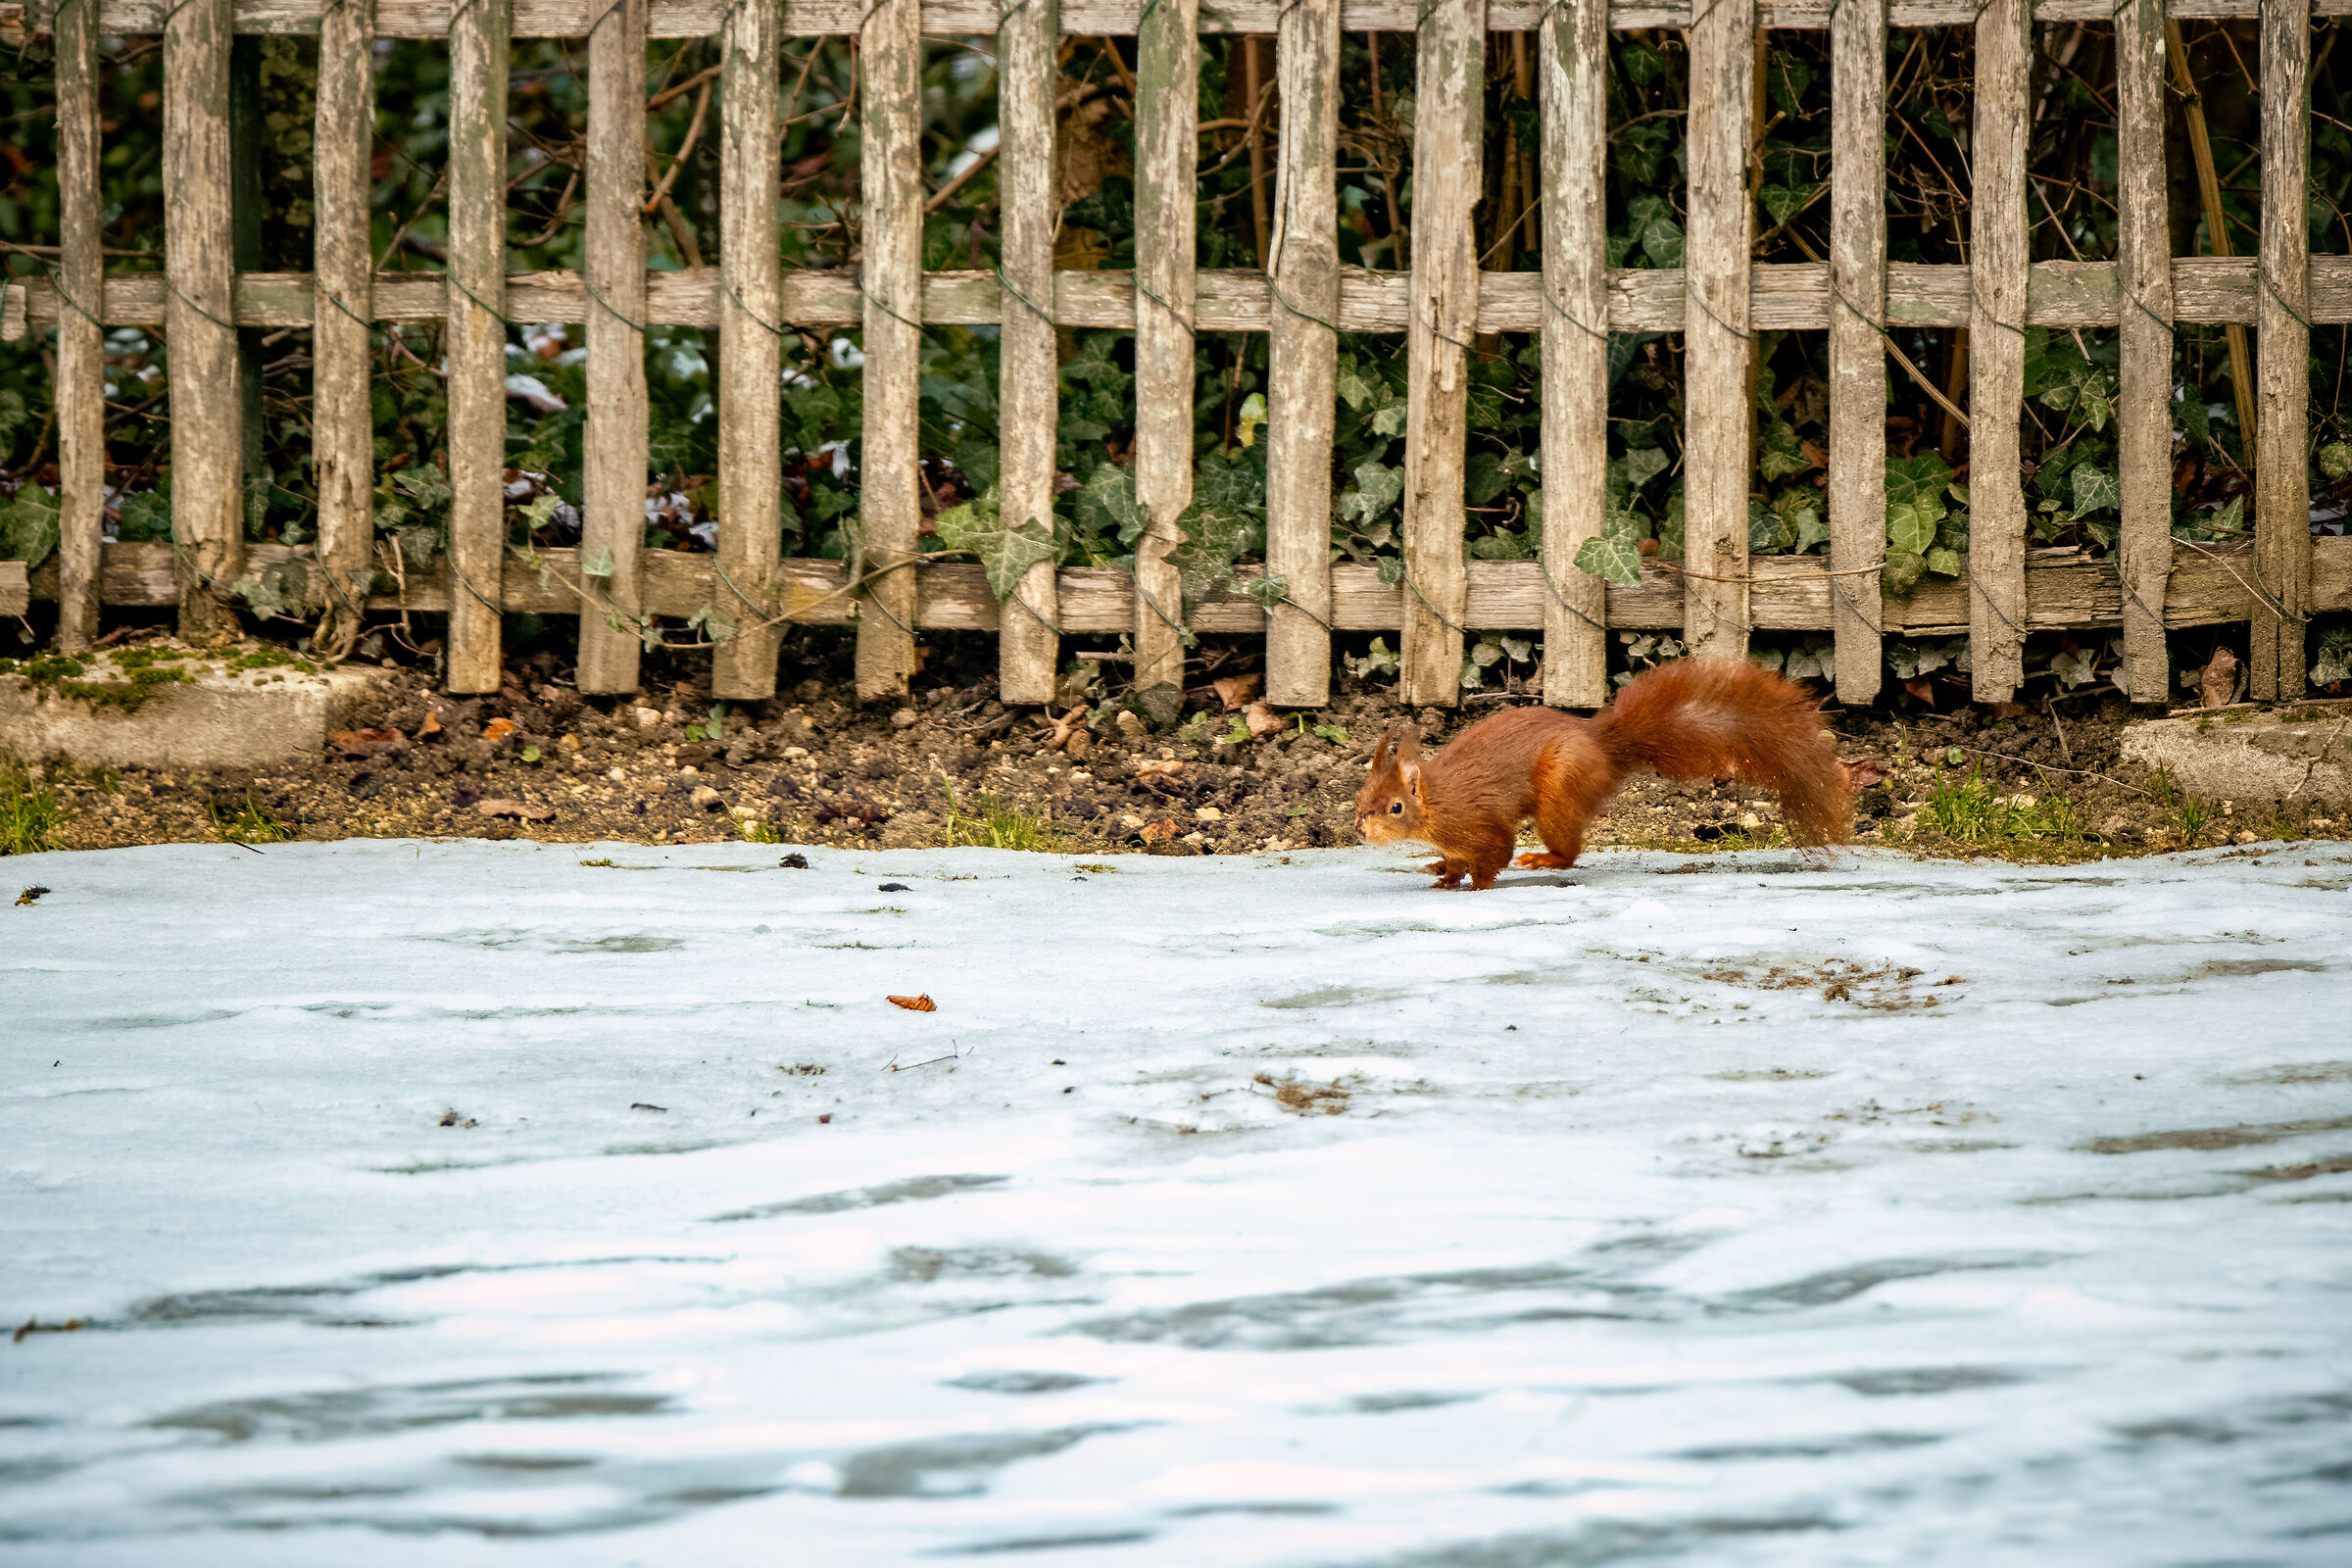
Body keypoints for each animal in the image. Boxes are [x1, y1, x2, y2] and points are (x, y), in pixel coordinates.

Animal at [1353, 658, 1852, 889]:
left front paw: (1475, 884)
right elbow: (1454, 860)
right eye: (1360, 800)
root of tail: (1600, 745)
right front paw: (1443, 873)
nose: (1359, 828)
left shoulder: (1478, 823)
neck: (1436, 803)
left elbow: (1494, 854)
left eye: (1395, 807)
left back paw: (1544, 859)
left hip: (1560, 791)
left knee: (1569, 850)